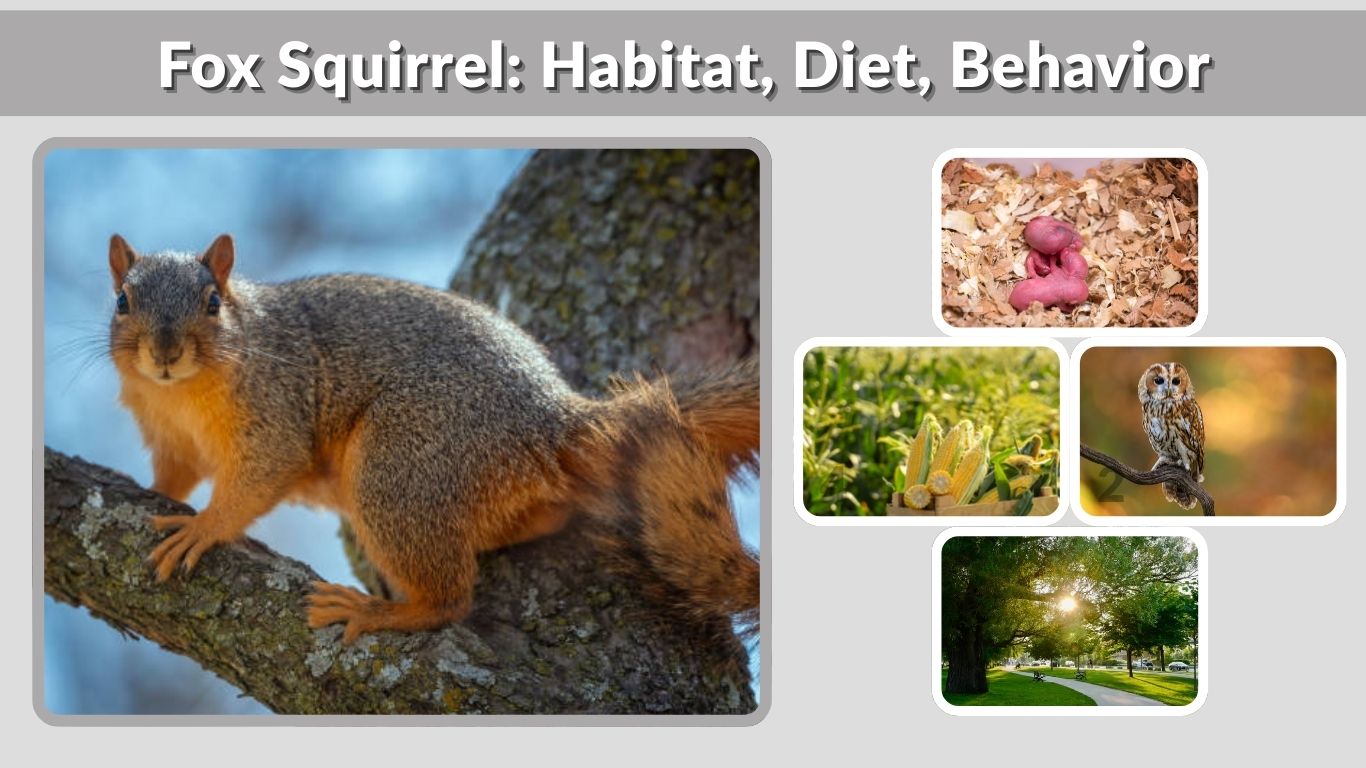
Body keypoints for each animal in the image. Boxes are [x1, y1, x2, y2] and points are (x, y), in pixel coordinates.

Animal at [105, 233, 760, 643]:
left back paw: (380, 611)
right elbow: (175, 473)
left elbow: (261, 474)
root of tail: (551, 421)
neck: (180, 396)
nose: (165, 352)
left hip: (400, 466)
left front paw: (202, 528)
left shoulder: (275, 406)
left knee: (450, 603)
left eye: (213, 302)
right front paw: (153, 490)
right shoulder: (171, 436)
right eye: (121, 300)